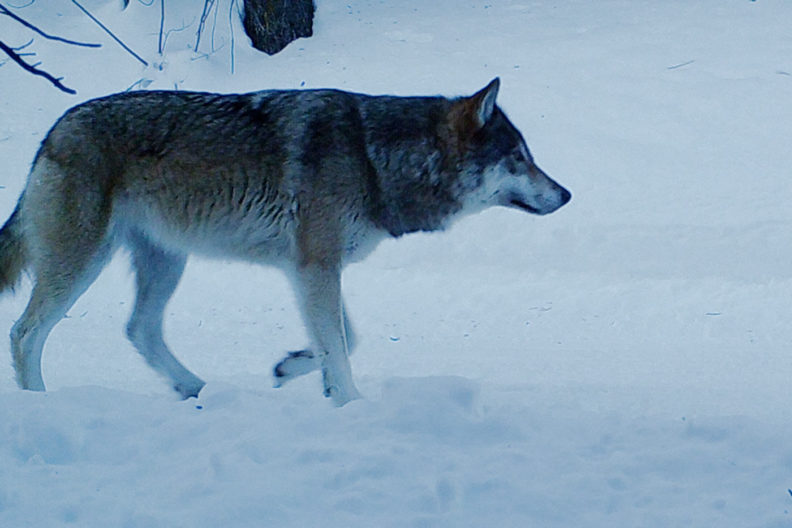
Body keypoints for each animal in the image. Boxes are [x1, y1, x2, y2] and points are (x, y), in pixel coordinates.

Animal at [0, 78, 570, 406]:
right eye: (518, 158)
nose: (566, 194)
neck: (372, 156)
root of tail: (53, 132)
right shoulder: (316, 265)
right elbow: (340, 345)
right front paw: (351, 403)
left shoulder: (311, 267)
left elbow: (343, 339)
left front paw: (297, 369)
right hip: (83, 262)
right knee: (25, 334)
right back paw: (40, 405)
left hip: (166, 260)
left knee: (139, 328)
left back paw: (194, 388)